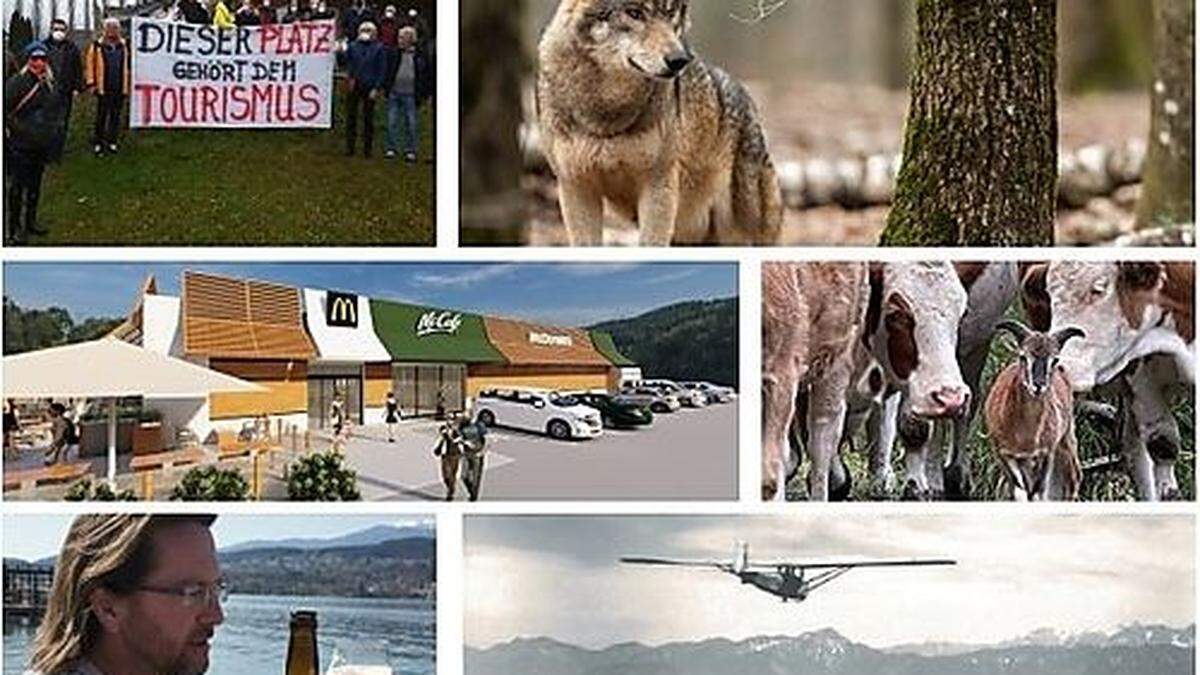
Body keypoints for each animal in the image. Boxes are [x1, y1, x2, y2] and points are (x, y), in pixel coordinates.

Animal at [537, 0, 782, 246]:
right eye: (634, 13)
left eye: (670, 12)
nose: (679, 60)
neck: (606, 114)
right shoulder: (575, 187)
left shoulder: (659, 185)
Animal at [984, 319, 1089, 499]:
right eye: (1023, 356)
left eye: (1054, 359)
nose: (1038, 385)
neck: (1024, 436)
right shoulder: (1004, 453)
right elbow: (1020, 489)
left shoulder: (1046, 452)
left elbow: (1037, 491)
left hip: (1066, 443)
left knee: (1073, 480)